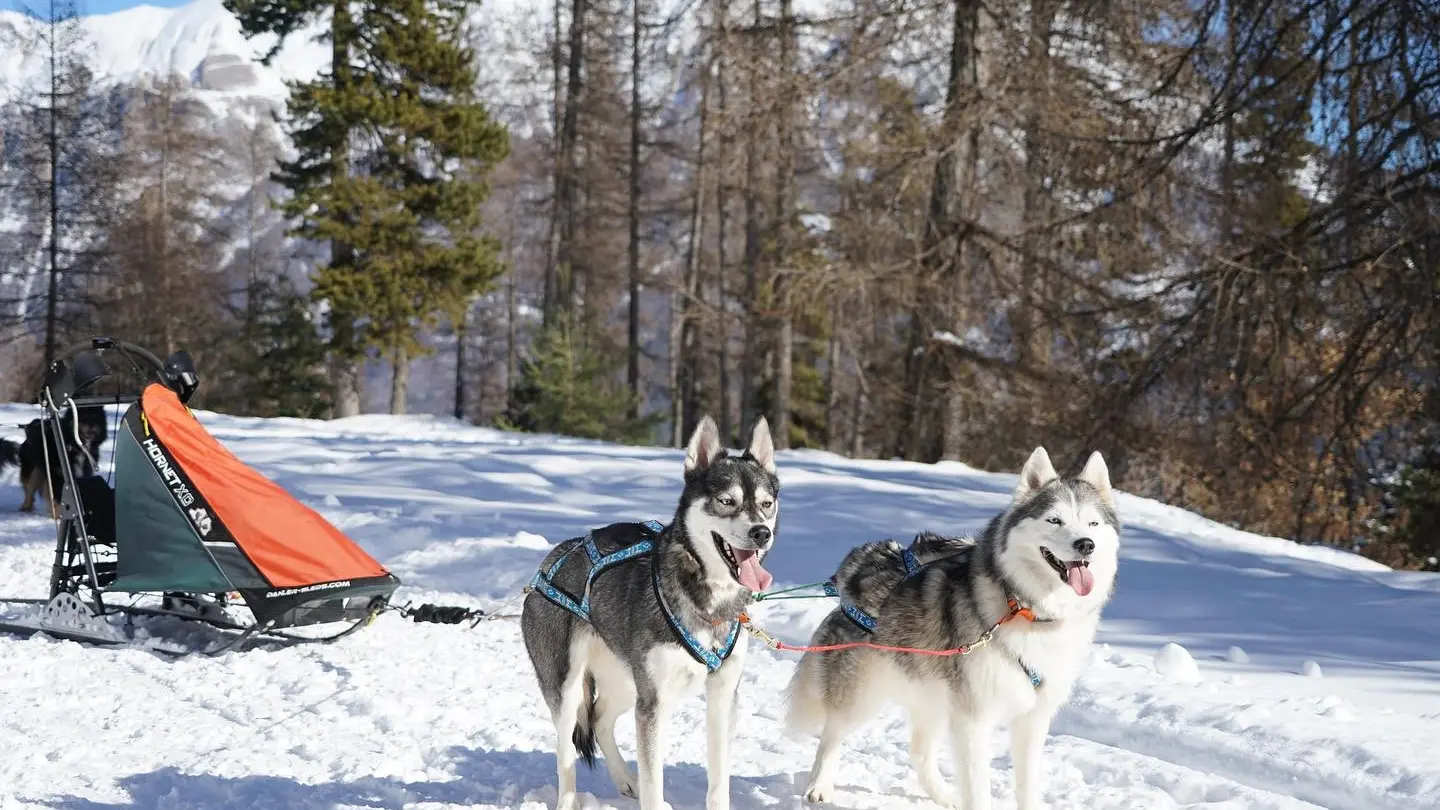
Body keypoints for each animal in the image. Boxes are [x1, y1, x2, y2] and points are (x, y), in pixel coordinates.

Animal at [524, 412, 783, 807]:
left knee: (600, 720)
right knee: (566, 749)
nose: (761, 533)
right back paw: (569, 799)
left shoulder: (722, 697)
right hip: (569, 687)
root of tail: (550, 562)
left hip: (628, 682)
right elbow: (653, 778)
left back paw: (625, 780)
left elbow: (718, 779)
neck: (708, 602)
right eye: (726, 501)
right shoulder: (654, 705)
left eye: (767, 504)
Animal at [789, 446, 1111, 807]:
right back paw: (818, 787)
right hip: (863, 695)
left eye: (1093, 523)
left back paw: (944, 796)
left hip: (931, 695)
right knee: (831, 736)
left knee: (919, 752)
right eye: (1054, 520)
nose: (1086, 544)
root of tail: (856, 567)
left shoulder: (1032, 720)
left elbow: (1027, 786)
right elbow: (979, 790)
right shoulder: (973, 720)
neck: (1027, 609)